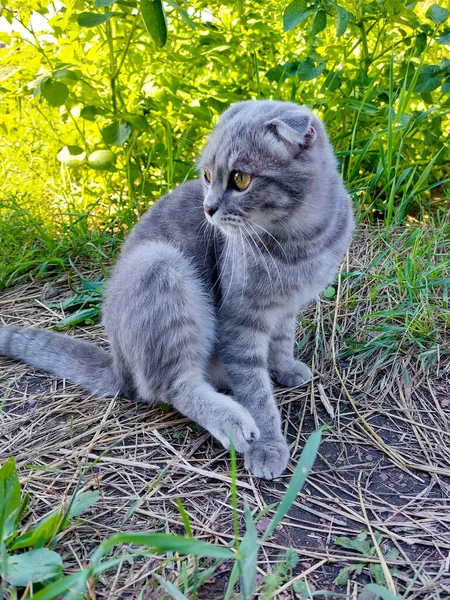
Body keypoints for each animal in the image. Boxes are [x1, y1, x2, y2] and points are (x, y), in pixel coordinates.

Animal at [0, 102, 356, 478]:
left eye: (240, 179)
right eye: (207, 176)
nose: (208, 208)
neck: (302, 240)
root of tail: (118, 363)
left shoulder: (286, 307)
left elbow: (282, 340)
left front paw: (285, 367)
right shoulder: (241, 320)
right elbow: (254, 389)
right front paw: (268, 446)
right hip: (159, 267)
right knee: (174, 385)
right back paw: (231, 420)